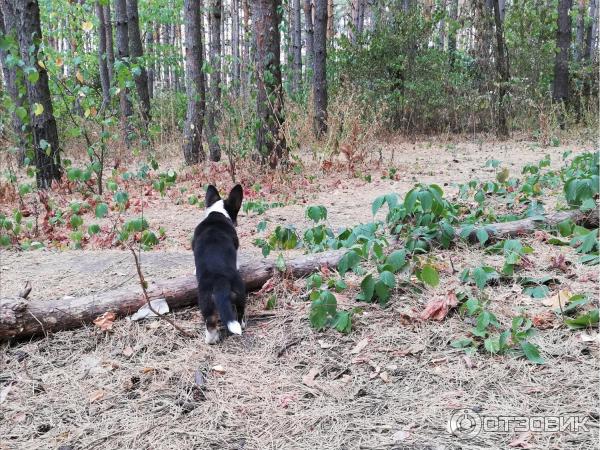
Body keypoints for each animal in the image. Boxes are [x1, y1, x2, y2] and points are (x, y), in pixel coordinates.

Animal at [195, 185, 246, 342]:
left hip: (206, 302)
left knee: (210, 323)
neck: (217, 213)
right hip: (240, 292)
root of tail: (219, 280)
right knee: (240, 314)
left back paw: (211, 339)